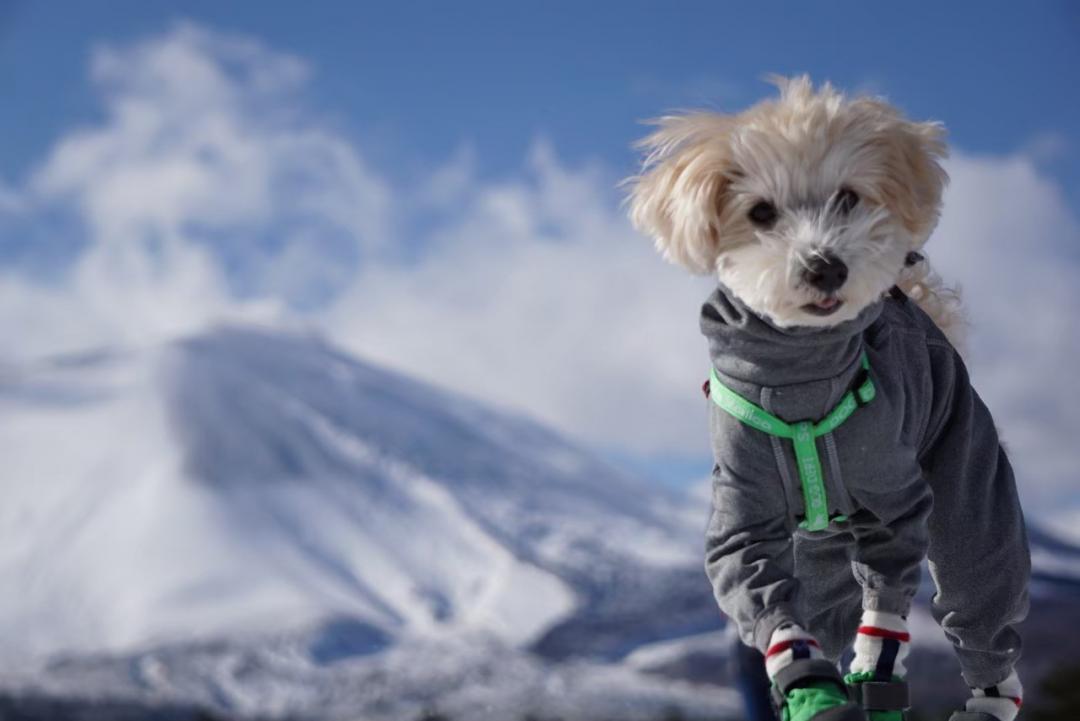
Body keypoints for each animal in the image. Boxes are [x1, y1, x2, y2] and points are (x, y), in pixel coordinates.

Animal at [630, 77, 1032, 721]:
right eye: (760, 212)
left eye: (847, 199)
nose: (826, 267)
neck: (800, 375)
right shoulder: (742, 515)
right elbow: (762, 593)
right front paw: (809, 685)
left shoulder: (896, 498)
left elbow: (887, 598)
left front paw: (875, 667)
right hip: (819, 562)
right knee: (822, 605)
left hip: (969, 482)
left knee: (978, 590)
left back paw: (986, 702)